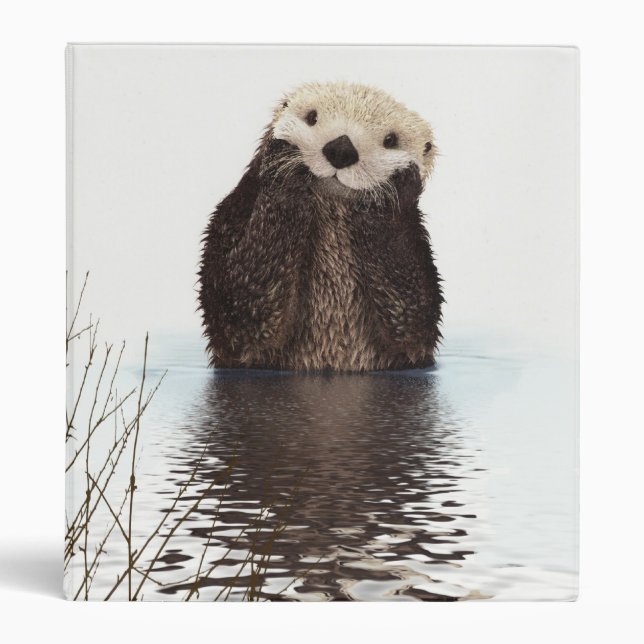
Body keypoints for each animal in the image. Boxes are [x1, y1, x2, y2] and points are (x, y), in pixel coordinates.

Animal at [198, 82, 443, 372]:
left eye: (390, 140)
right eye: (312, 117)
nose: (342, 149)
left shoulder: (417, 253)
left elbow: (412, 316)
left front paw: (392, 189)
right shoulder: (232, 217)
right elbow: (240, 304)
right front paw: (284, 164)